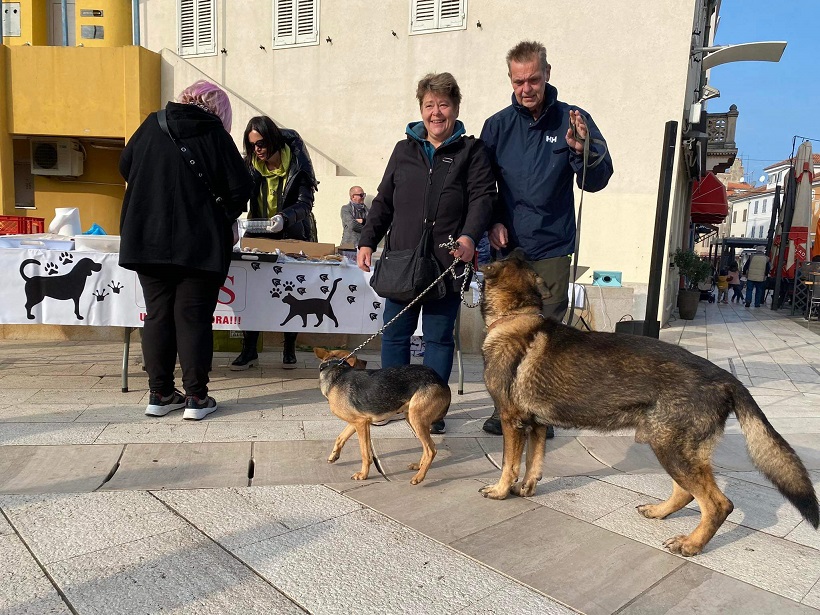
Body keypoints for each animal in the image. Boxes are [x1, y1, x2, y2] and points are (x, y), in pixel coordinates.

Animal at [312, 352, 448, 486]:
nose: (366, 362)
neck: (335, 371)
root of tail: (440, 380)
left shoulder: (361, 423)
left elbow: (365, 453)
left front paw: (363, 475)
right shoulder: (357, 422)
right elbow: (340, 438)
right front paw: (334, 455)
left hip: (417, 419)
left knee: (431, 450)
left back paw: (419, 477)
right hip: (412, 418)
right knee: (427, 446)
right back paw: (419, 466)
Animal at [478, 251, 816, 560]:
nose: (507, 245)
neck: (516, 314)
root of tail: (726, 378)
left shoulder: (511, 420)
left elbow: (509, 463)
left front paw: (500, 491)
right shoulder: (536, 424)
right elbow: (534, 462)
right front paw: (525, 488)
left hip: (671, 449)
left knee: (718, 504)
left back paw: (691, 544)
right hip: (673, 448)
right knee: (686, 492)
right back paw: (660, 512)